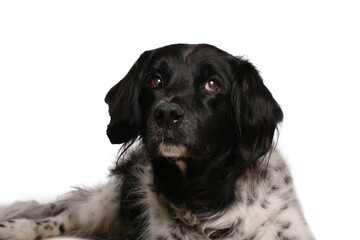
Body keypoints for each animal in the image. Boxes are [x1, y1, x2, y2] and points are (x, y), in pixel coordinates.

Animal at [0, 44, 314, 239]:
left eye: (212, 84)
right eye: (155, 81)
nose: (166, 114)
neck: (203, 196)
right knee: (62, 218)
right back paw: (13, 229)